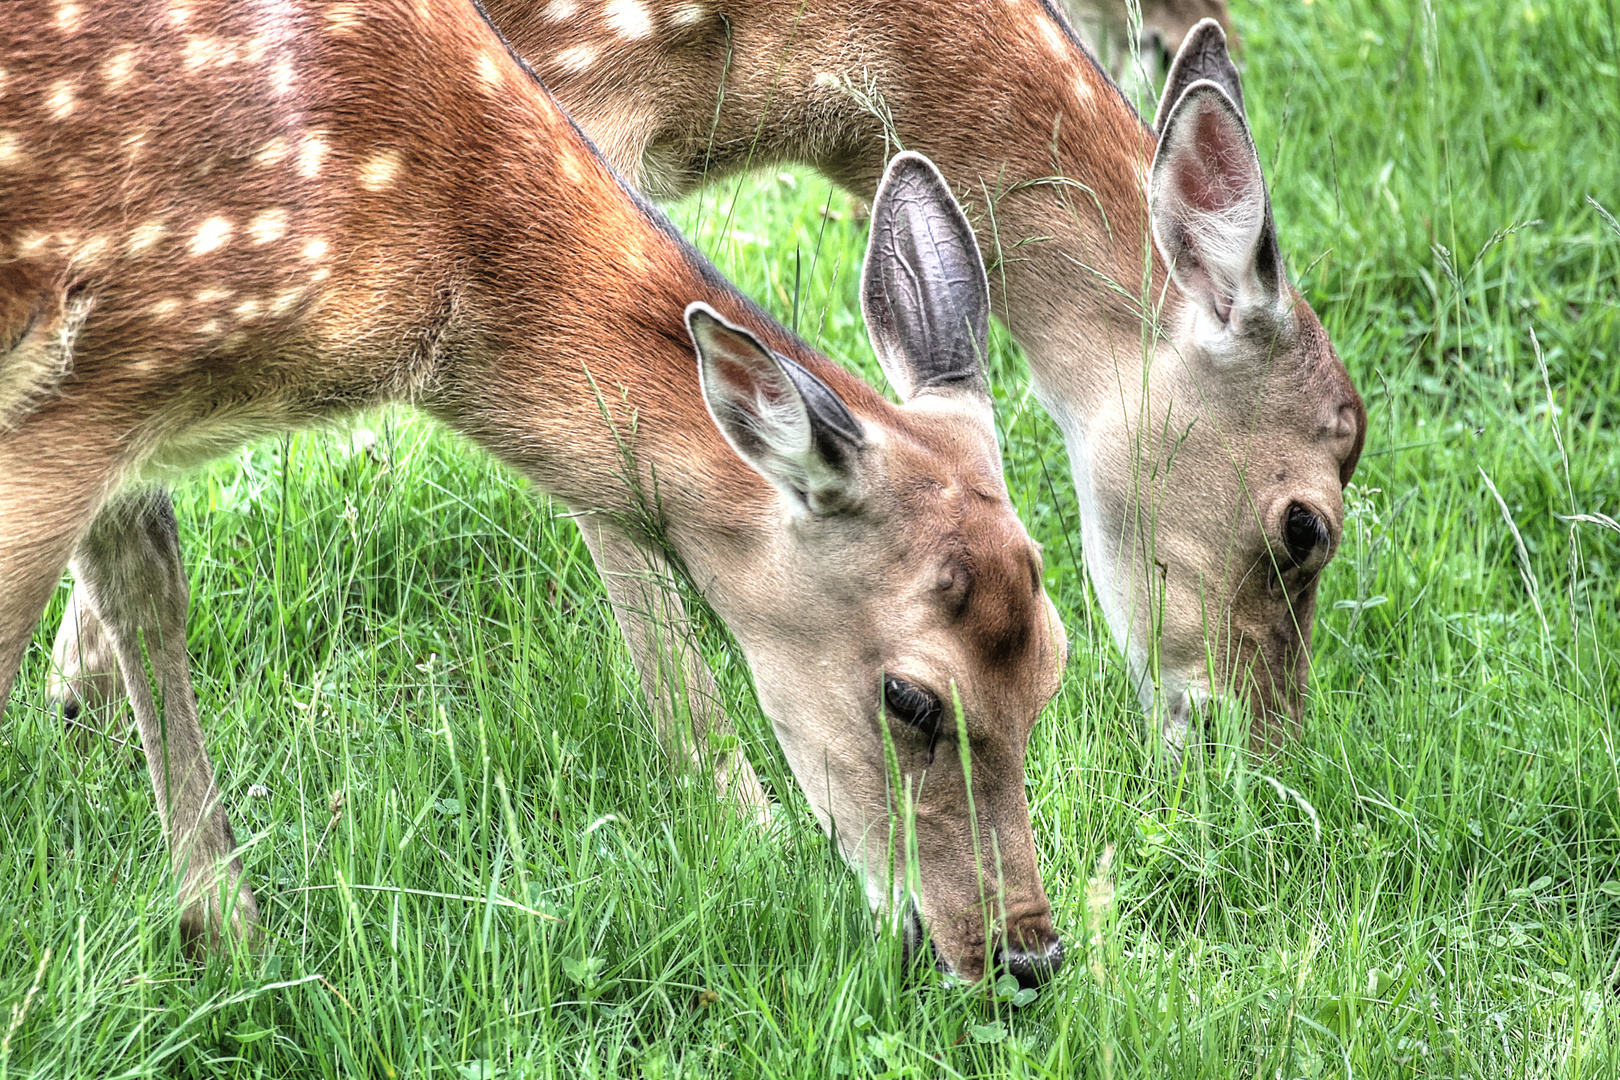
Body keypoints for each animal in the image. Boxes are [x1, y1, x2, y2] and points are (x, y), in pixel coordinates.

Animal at [3, 0, 1075, 984]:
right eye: (910, 697)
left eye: (1057, 666)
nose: (1025, 953)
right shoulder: (101, 373)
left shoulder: (131, 409)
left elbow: (148, 593)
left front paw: (227, 935)